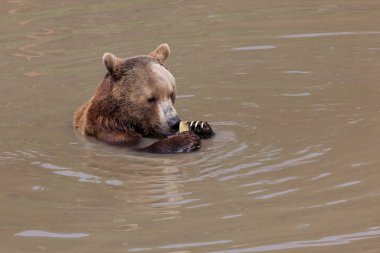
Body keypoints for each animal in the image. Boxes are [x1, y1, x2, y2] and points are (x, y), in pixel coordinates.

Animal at [72, 43, 212, 153]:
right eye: (151, 98)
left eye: (171, 93)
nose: (174, 122)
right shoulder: (110, 132)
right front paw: (184, 140)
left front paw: (198, 126)